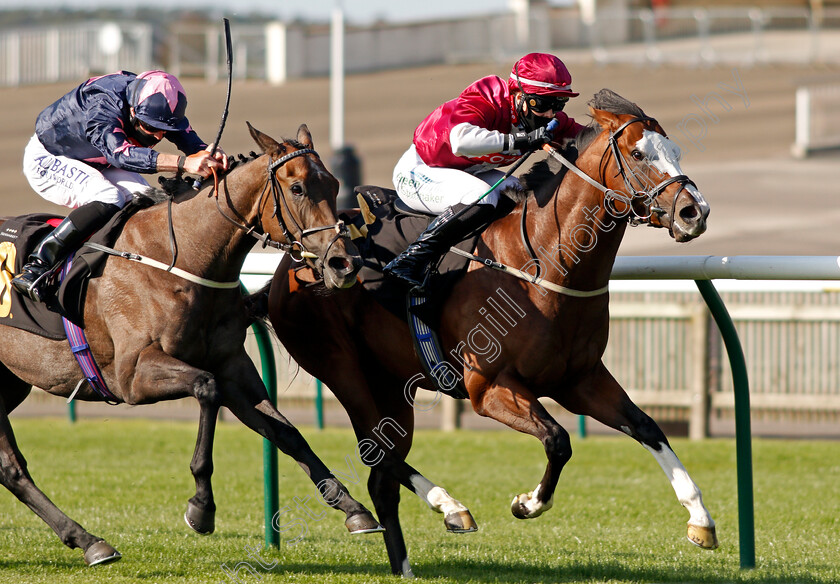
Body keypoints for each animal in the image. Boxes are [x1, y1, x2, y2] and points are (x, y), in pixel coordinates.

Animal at [0, 123, 378, 564]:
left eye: (334, 184)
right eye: (297, 187)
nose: (344, 265)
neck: (179, 257)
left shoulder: (234, 368)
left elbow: (287, 433)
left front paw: (354, 509)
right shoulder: (132, 377)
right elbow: (205, 389)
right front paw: (201, 507)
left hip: (9, 383)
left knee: (10, 469)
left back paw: (89, 540)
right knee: (13, 467)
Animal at [260, 90, 716, 576]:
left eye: (676, 151)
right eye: (638, 154)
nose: (695, 212)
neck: (542, 263)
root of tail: (292, 263)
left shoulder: (581, 380)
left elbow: (648, 427)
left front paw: (700, 520)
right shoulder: (489, 389)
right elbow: (558, 440)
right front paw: (527, 503)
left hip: (391, 385)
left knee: (382, 473)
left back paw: (419, 548)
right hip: (344, 371)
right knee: (375, 454)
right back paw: (442, 514)